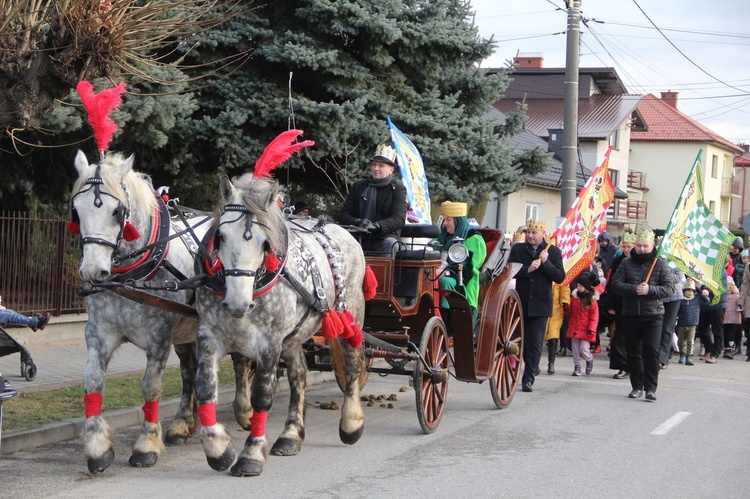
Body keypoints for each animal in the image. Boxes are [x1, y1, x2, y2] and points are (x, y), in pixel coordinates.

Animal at [194, 131, 376, 478]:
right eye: (220, 236)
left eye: (265, 243)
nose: (237, 303)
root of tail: (341, 230)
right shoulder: (210, 336)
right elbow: (205, 390)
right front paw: (218, 449)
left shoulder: (269, 343)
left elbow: (262, 396)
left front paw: (252, 453)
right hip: (295, 336)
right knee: (299, 375)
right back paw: (291, 435)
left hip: (351, 314)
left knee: (353, 363)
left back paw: (352, 422)